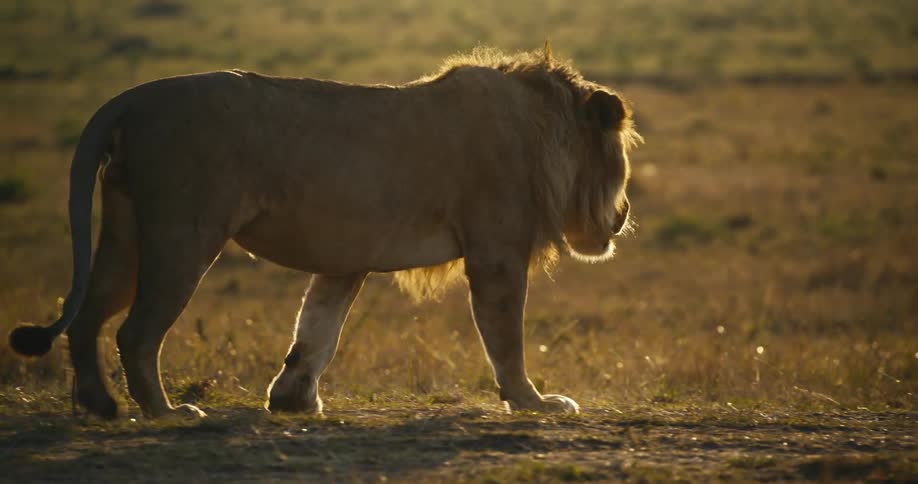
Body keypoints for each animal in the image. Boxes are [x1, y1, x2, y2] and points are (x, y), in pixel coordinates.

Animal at [9, 45, 640, 419]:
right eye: (621, 161)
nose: (625, 213)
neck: (545, 131)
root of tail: (131, 98)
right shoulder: (497, 255)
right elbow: (506, 338)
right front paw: (536, 402)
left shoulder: (347, 256)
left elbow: (317, 327)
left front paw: (291, 400)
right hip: (183, 234)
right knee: (136, 332)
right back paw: (167, 413)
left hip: (127, 233)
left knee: (86, 316)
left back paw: (100, 405)